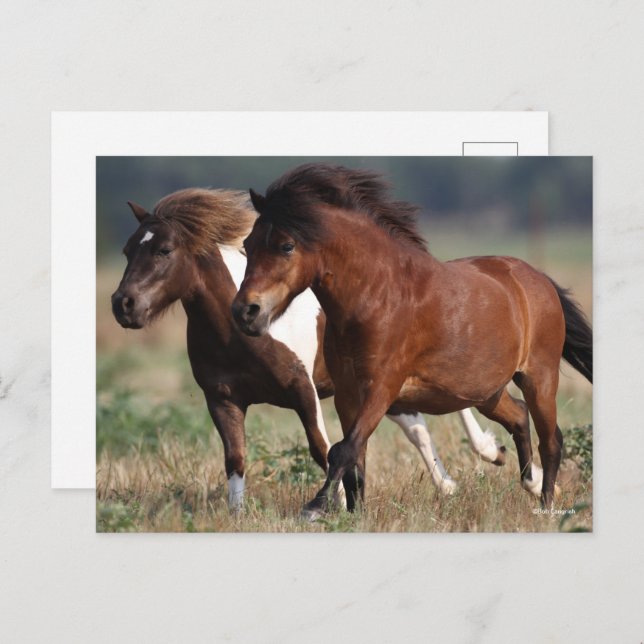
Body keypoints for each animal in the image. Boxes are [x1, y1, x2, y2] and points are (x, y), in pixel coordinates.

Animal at [110, 188, 508, 512]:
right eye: (128, 250)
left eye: (164, 250)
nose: (123, 305)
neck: (238, 334)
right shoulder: (222, 399)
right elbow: (235, 459)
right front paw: (237, 515)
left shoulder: (303, 389)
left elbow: (321, 447)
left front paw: (335, 504)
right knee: (417, 426)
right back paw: (449, 485)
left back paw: (489, 452)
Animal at [232, 163, 593, 514]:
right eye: (247, 246)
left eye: (286, 246)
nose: (245, 311)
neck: (378, 296)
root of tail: (538, 279)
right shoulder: (347, 394)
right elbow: (355, 459)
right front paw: (353, 515)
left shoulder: (382, 388)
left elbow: (342, 450)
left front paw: (316, 507)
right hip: (486, 392)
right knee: (519, 416)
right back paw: (529, 483)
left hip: (538, 378)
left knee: (552, 440)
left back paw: (546, 505)